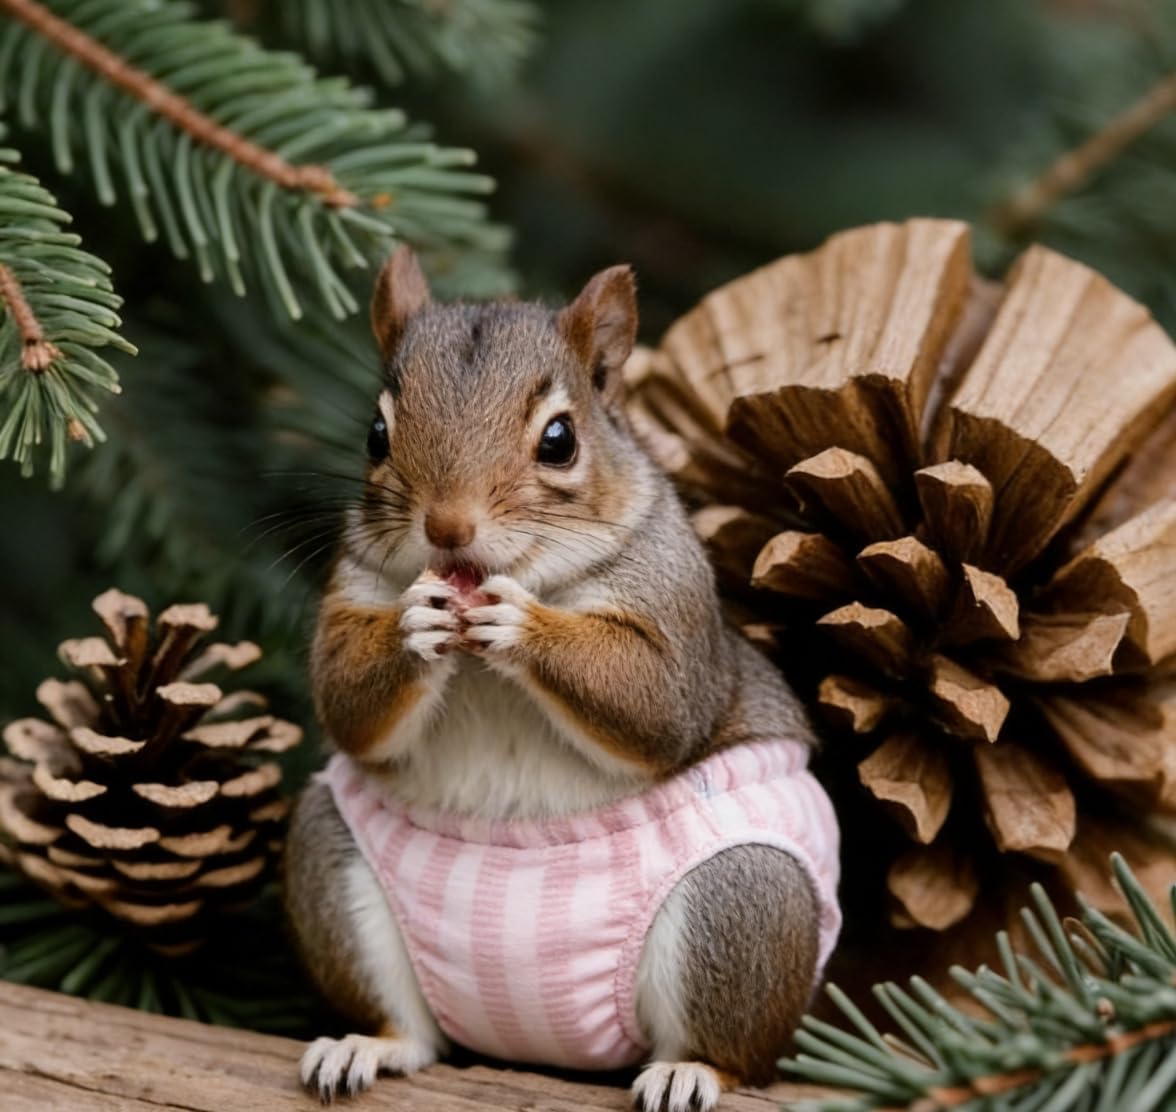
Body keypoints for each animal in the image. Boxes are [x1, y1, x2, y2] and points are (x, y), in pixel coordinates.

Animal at [283, 248, 841, 1112]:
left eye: (559, 439)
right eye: (376, 434)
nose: (447, 528)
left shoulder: (674, 611)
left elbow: (655, 703)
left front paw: (523, 623)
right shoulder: (352, 594)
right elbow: (345, 699)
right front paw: (416, 623)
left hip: (745, 893)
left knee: (738, 1050)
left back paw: (690, 1072)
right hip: (332, 858)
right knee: (415, 1034)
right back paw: (364, 1047)